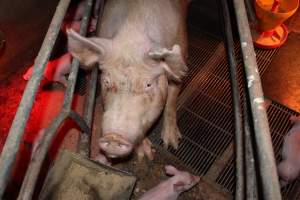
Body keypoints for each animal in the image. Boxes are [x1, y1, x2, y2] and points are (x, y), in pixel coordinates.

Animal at [67, 0, 190, 159]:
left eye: (148, 84)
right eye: (107, 82)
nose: (114, 137)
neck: (133, 30)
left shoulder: (183, 53)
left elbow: (172, 98)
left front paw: (172, 144)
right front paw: (145, 154)